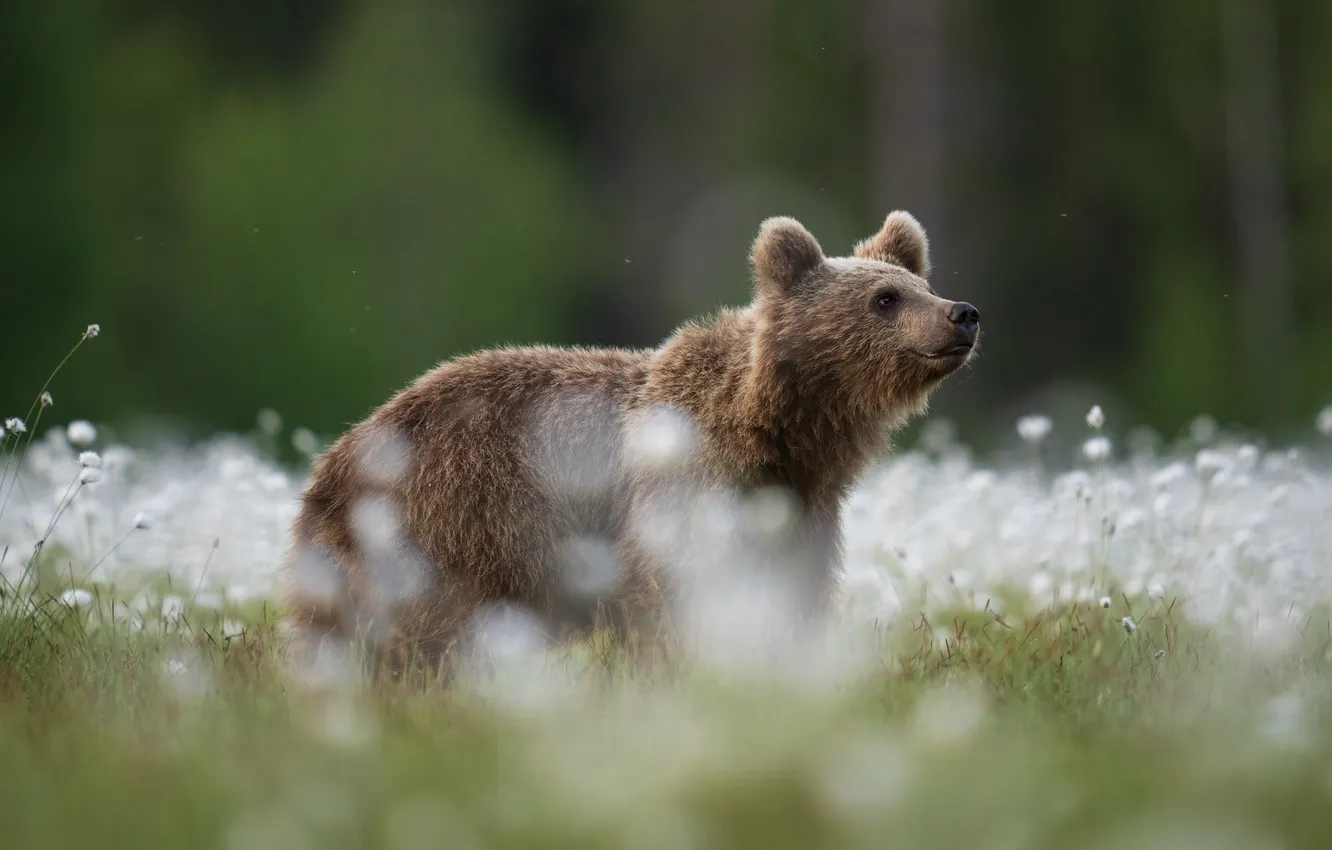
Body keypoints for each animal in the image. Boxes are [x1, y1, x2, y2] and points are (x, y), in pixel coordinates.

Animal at [281, 210, 980, 676]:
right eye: (884, 298)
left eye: (922, 285)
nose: (962, 313)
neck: (776, 431)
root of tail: (333, 459)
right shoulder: (686, 491)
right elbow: (680, 594)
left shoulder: (800, 508)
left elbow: (789, 591)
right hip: (444, 522)